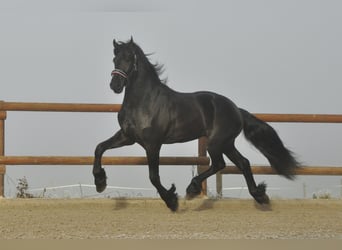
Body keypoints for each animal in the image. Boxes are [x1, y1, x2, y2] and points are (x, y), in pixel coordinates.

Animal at [93, 38, 300, 212]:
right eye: (114, 59)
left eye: (129, 58)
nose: (115, 85)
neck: (144, 102)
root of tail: (236, 109)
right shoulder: (127, 137)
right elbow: (99, 148)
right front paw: (99, 182)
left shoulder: (153, 144)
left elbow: (153, 176)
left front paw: (172, 200)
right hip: (226, 143)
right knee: (243, 163)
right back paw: (260, 196)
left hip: (216, 143)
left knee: (219, 164)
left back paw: (192, 189)